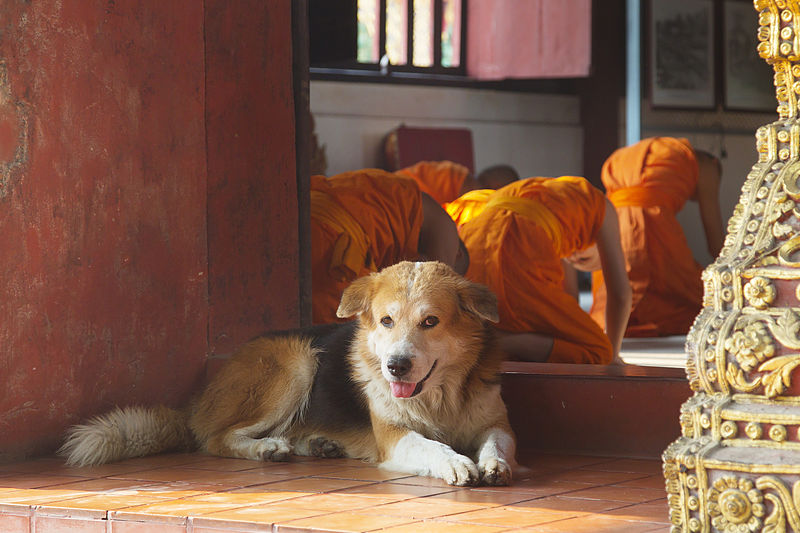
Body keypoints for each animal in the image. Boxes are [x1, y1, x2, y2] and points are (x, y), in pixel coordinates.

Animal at [59, 260, 516, 484]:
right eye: (387, 321)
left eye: (430, 322)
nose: (395, 366)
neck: (441, 396)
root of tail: (197, 401)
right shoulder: (393, 437)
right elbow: (430, 445)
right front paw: (455, 462)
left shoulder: (497, 422)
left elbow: (497, 443)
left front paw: (494, 464)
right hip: (297, 361)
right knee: (216, 439)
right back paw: (266, 448)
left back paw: (316, 444)